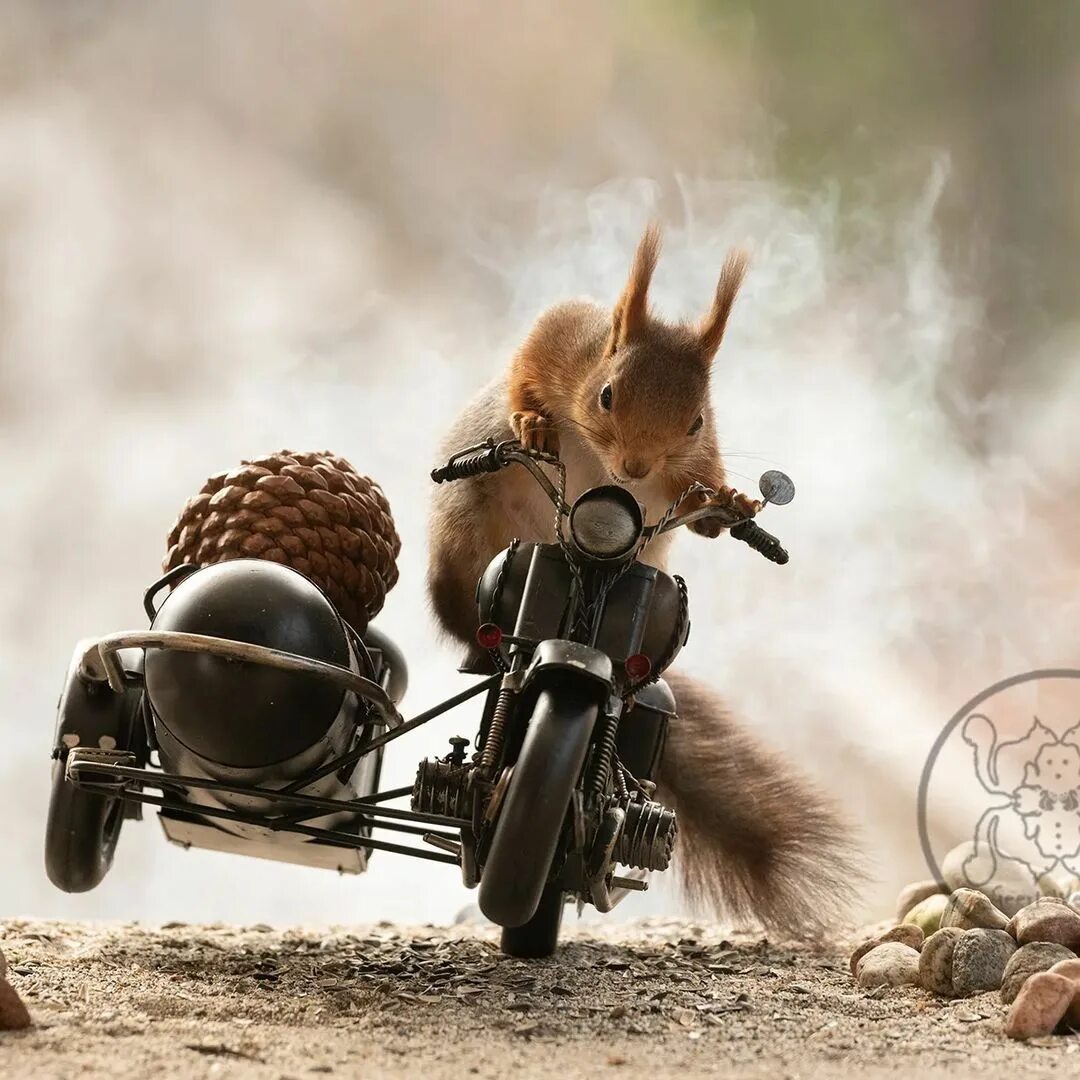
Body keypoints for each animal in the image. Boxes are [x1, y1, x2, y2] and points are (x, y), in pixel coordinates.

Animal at [429, 223, 859, 933]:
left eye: (696, 421)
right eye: (607, 395)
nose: (634, 467)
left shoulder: (695, 461)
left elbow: (709, 497)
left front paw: (732, 503)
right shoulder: (565, 337)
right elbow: (527, 363)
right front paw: (531, 422)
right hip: (467, 547)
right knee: (475, 631)